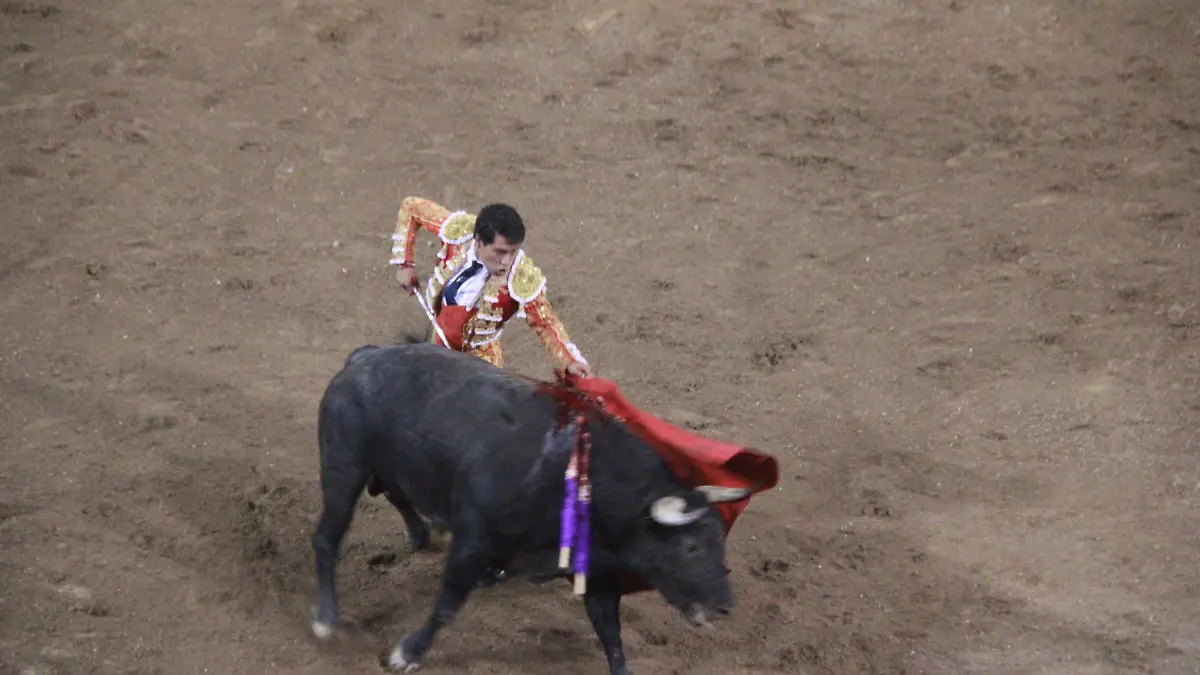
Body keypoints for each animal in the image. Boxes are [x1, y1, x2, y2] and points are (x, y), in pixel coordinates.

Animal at [314, 341, 753, 672]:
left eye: (721, 541)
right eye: (691, 546)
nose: (724, 606)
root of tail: (364, 357)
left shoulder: (597, 575)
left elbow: (612, 637)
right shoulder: (473, 544)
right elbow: (448, 605)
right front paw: (406, 652)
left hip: (386, 465)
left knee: (394, 492)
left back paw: (419, 534)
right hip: (343, 469)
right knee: (327, 538)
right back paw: (326, 621)